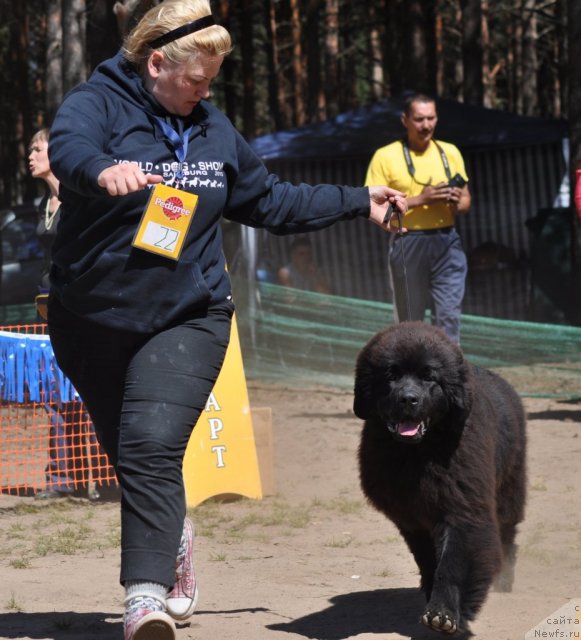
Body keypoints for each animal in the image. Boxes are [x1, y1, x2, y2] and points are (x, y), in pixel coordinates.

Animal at [354, 322, 524, 636]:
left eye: (429, 376)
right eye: (391, 375)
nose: (408, 399)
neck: (418, 454)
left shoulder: (462, 507)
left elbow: (452, 564)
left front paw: (443, 614)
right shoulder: (410, 518)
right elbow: (428, 559)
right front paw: (433, 596)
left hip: (509, 485)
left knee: (508, 532)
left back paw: (504, 579)